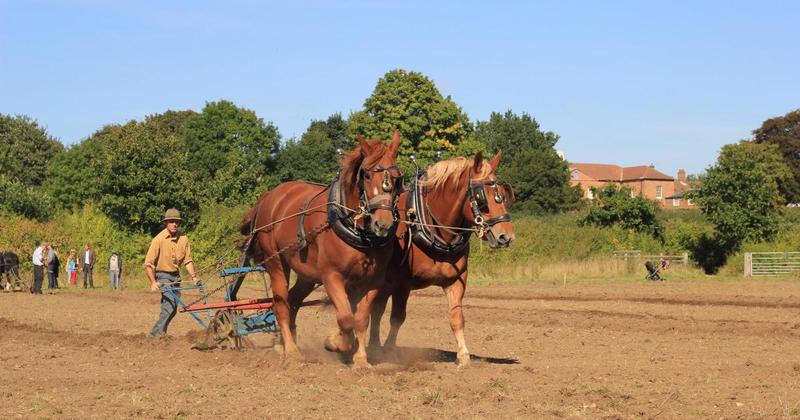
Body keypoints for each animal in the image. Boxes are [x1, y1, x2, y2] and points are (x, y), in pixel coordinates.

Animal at [240, 131, 403, 368]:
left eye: (398, 177)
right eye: (366, 175)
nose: (383, 224)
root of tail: (268, 197)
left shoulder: (373, 281)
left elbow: (361, 319)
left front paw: (361, 359)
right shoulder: (331, 276)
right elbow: (345, 318)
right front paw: (335, 343)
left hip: (307, 275)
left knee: (293, 301)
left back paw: (284, 343)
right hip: (276, 263)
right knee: (280, 304)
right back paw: (291, 350)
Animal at [368, 152, 515, 366]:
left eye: (503, 195)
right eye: (482, 198)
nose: (506, 236)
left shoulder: (456, 280)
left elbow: (456, 317)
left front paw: (463, 355)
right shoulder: (401, 284)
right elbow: (397, 317)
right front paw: (389, 350)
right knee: (375, 310)